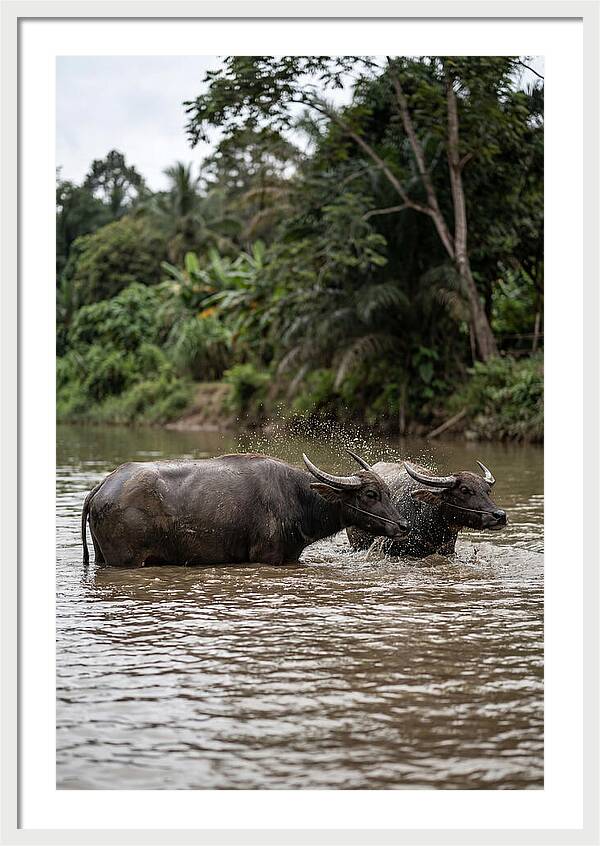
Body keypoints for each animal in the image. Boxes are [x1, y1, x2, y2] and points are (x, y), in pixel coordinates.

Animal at [81, 450, 409, 567]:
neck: (297, 498)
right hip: (127, 561)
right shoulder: (267, 556)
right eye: (371, 494)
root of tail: (102, 486)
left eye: (388, 492)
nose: (403, 525)